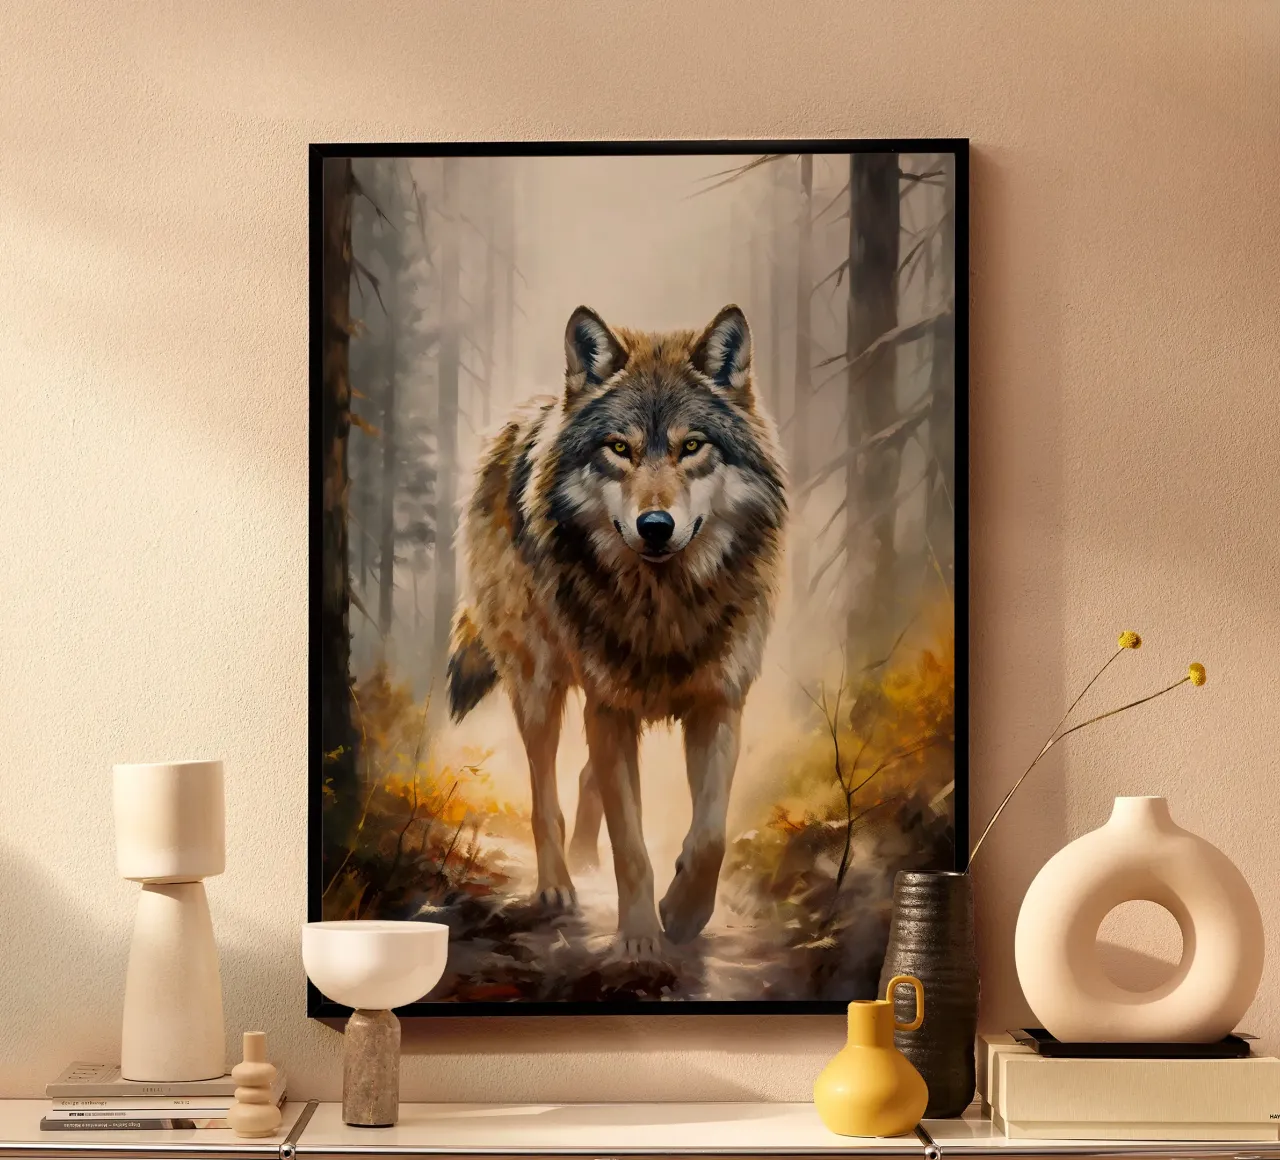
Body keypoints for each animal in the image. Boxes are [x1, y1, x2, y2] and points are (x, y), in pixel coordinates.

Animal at [446, 303, 787, 956]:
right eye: (619, 448)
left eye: (691, 446)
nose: (655, 525)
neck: (664, 606)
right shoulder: (609, 707)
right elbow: (630, 844)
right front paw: (640, 939)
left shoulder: (718, 702)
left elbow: (710, 837)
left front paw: (682, 913)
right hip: (539, 686)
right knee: (545, 797)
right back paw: (558, 884)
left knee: (586, 779)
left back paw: (584, 859)